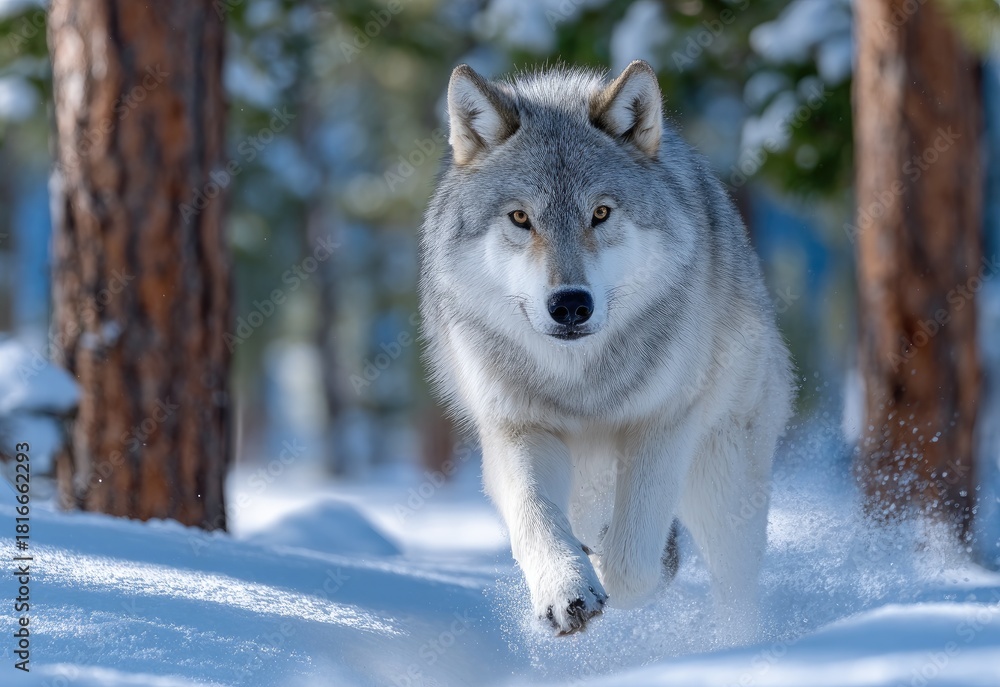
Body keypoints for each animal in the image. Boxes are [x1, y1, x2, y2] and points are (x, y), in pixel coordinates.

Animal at [419, 60, 794, 636]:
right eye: (521, 218)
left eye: (600, 213)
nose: (571, 304)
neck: (580, 383)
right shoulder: (517, 429)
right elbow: (536, 520)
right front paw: (566, 590)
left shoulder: (664, 423)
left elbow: (632, 565)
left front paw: (629, 571)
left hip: (722, 481)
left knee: (733, 587)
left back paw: (740, 644)